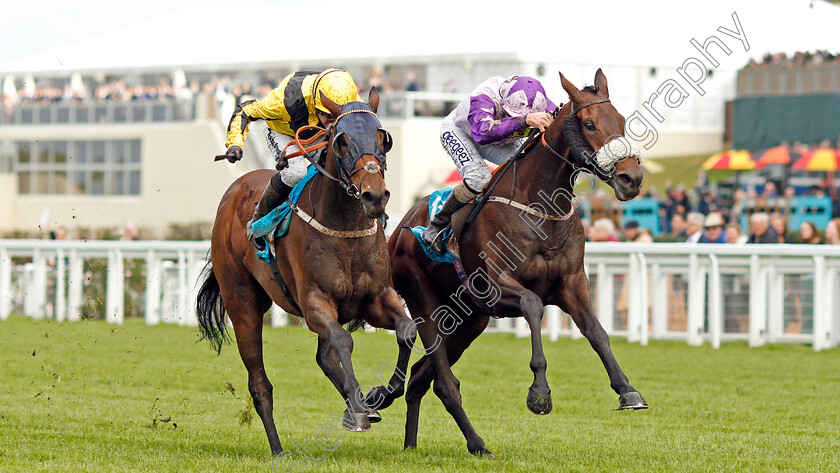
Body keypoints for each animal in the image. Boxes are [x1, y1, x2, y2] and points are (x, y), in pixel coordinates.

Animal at [198, 87, 420, 454]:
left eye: (383, 138)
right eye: (342, 141)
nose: (375, 195)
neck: (344, 226)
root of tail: (235, 188)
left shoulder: (376, 299)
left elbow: (407, 331)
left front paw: (379, 396)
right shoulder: (316, 301)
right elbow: (344, 340)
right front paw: (359, 409)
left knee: (324, 358)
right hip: (242, 303)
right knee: (260, 383)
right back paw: (277, 450)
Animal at [390, 68, 648, 456]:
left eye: (619, 120)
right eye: (589, 124)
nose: (631, 178)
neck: (541, 208)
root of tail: (397, 231)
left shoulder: (573, 282)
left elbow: (596, 331)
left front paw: (627, 390)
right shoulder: (496, 286)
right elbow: (533, 304)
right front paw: (539, 393)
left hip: (468, 322)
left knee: (422, 380)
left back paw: (412, 445)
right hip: (426, 306)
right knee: (446, 385)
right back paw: (477, 443)